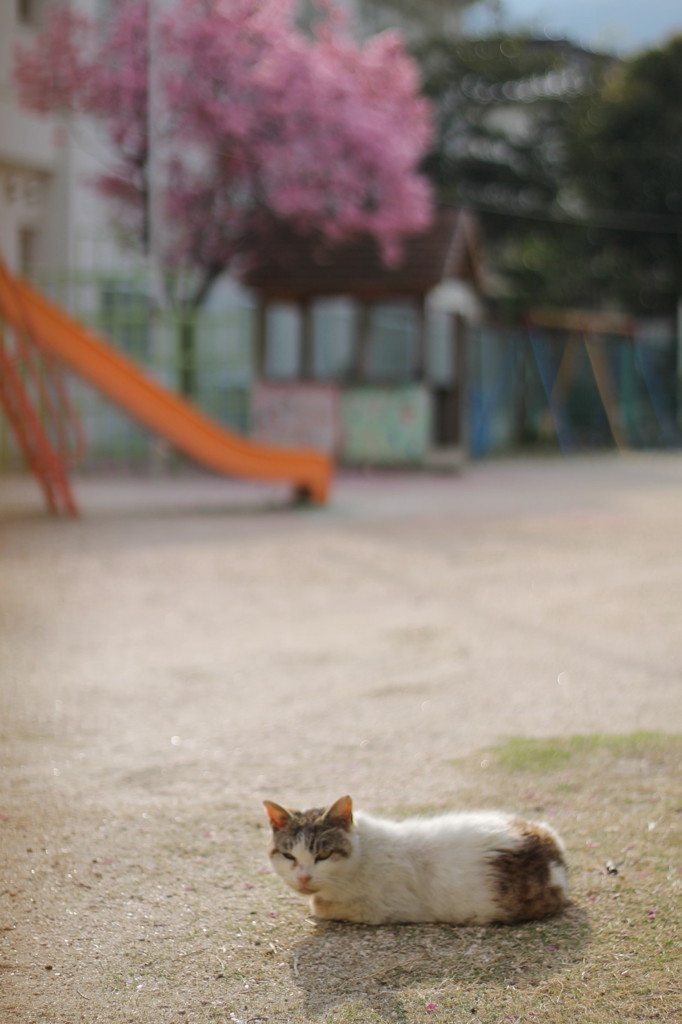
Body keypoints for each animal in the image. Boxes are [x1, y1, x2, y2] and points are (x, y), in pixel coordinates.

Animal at [262, 790, 565, 929]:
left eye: (323, 855)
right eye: (289, 856)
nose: (303, 877)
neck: (361, 853)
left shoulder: (379, 910)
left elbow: (319, 905)